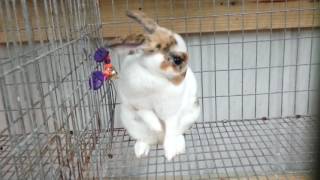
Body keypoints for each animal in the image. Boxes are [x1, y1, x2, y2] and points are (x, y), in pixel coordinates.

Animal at [107, 10, 200, 160]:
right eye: (177, 60)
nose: (184, 75)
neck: (153, 73)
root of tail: (158, 141)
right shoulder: (137, 103)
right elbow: (147, 114)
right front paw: (157, 126)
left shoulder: (170, 111)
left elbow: (170, 129)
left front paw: (169, 154)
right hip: (132, 124)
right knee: (146, 139)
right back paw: (140, 151)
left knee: (176, 134)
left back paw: (178, 148)